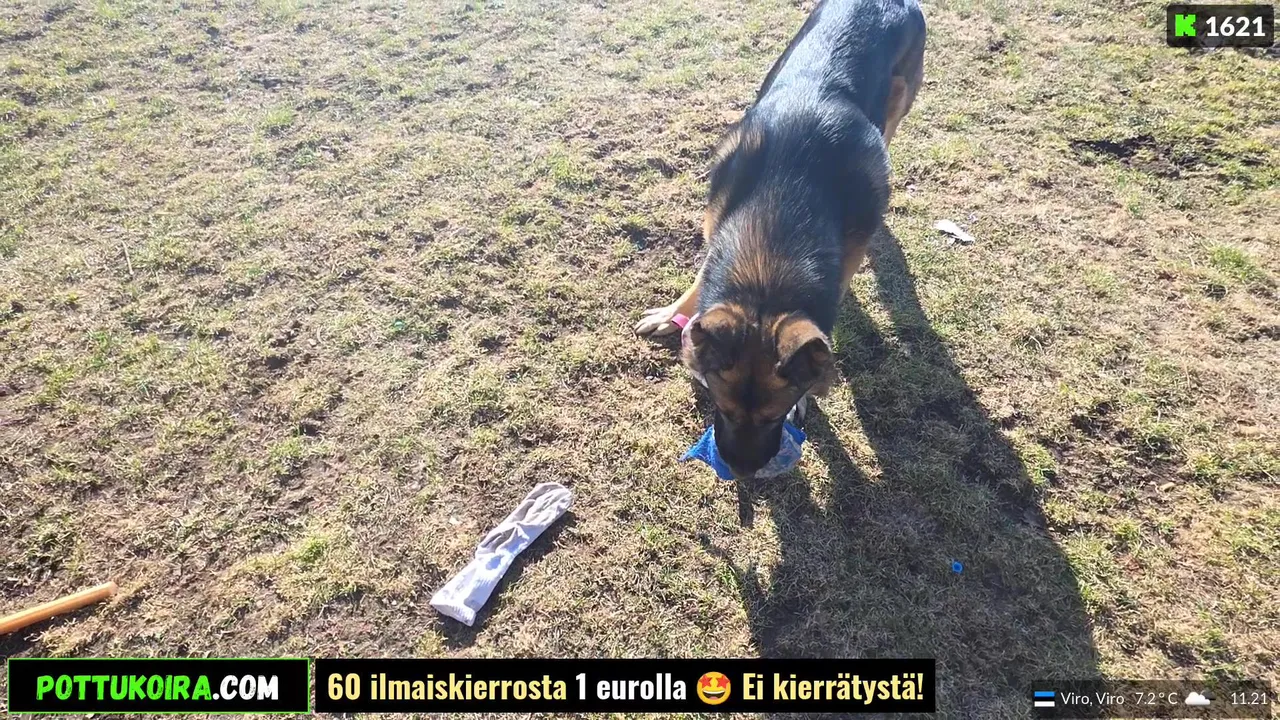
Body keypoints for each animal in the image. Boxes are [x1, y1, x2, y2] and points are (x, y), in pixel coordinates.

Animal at [635, 0, 926, 479]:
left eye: (773, 415)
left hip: (896, 106)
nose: (743, 472)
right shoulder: (717, 220)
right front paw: (674, 313)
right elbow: (700, 277)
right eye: (722, 407)